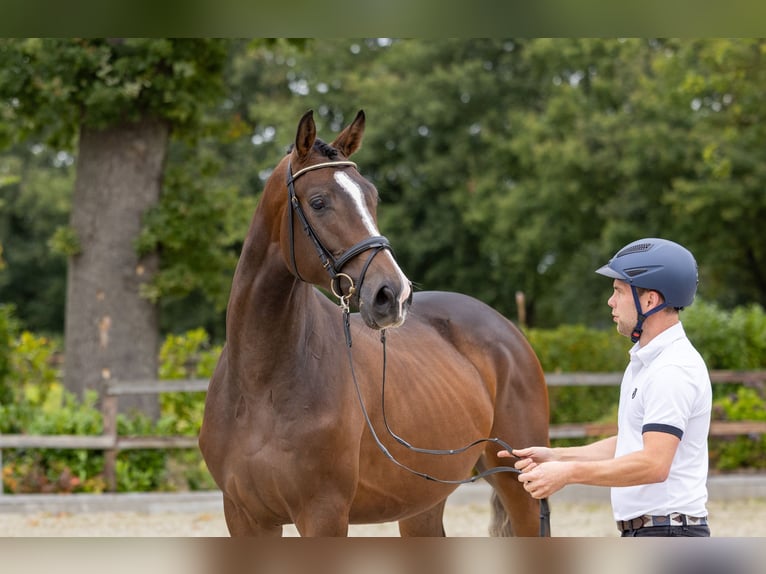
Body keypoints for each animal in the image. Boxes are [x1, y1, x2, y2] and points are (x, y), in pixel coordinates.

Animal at [199, 109, 550, 537]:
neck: (260, 385)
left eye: (372, 197)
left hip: (520, 486)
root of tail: (509, 332)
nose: (392, 294)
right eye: (318, 202)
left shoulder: (323, 514)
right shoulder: (244, 516)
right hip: (422, 502)